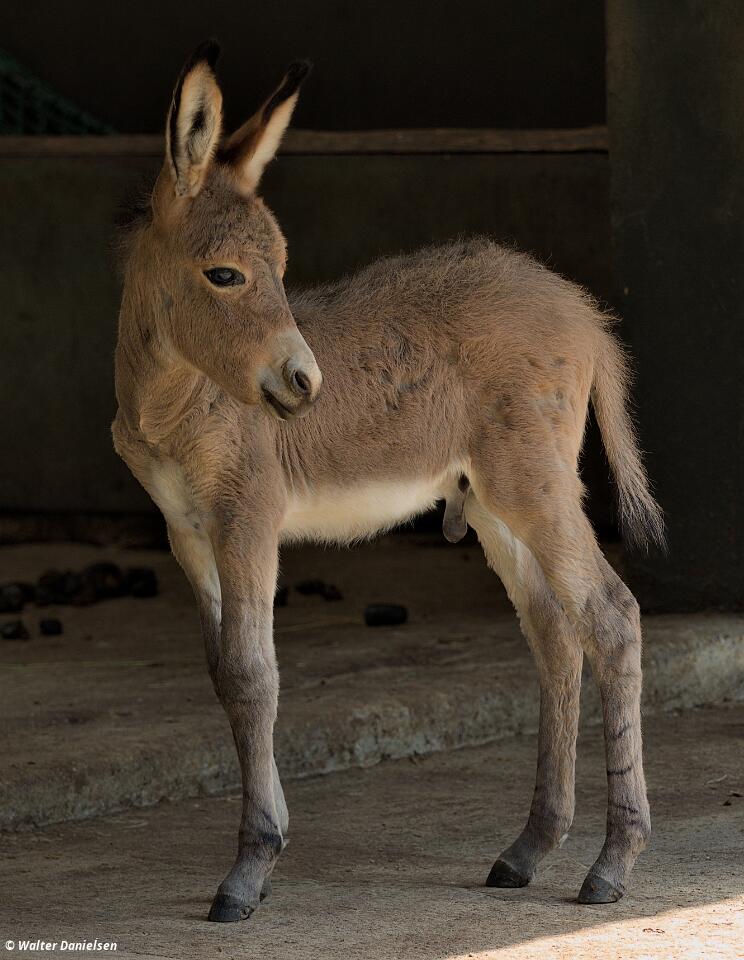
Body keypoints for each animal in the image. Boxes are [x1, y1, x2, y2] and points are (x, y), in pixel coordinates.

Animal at [112, 41, 664, 923]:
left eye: (281, 270)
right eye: (225, 275)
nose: (305, 383)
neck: (177, 400)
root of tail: (584, 312)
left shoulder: (247, 518)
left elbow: (254, 676)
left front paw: (249, 870)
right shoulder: (188, 533)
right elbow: (224, 676)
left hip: (533, 484)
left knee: (609, 615)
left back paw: (611, 866)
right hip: (493, 503)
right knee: (554, 629)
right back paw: (529, 849)